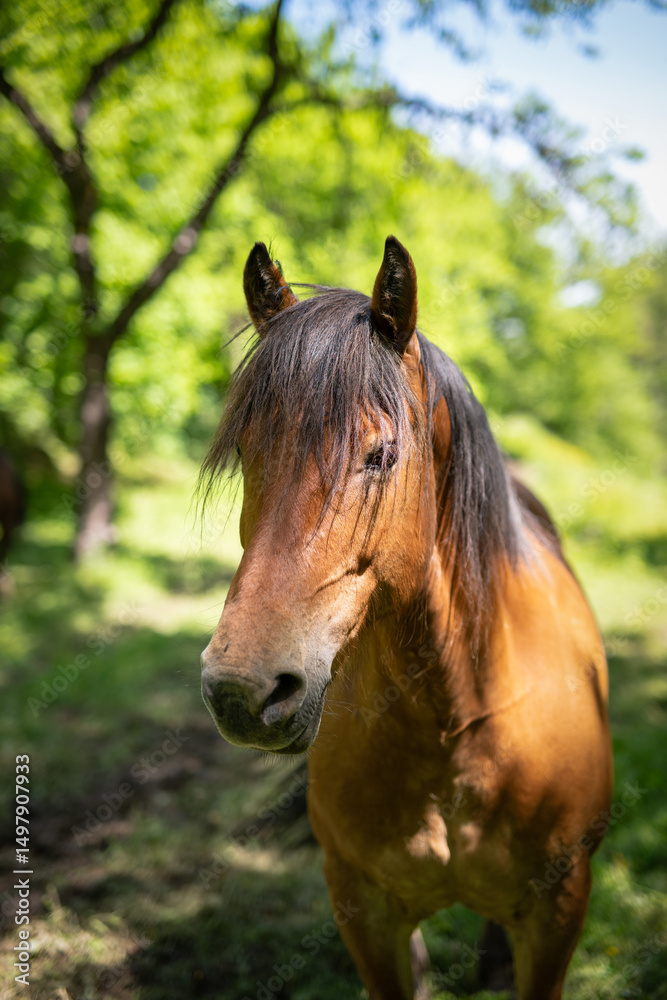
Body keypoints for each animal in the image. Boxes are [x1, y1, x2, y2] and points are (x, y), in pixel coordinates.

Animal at [199, 237, 613, 1000]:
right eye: (243, 452)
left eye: (381, 454)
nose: (241, 691)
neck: (452, 724)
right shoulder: (364, 912)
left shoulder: (560, 909)